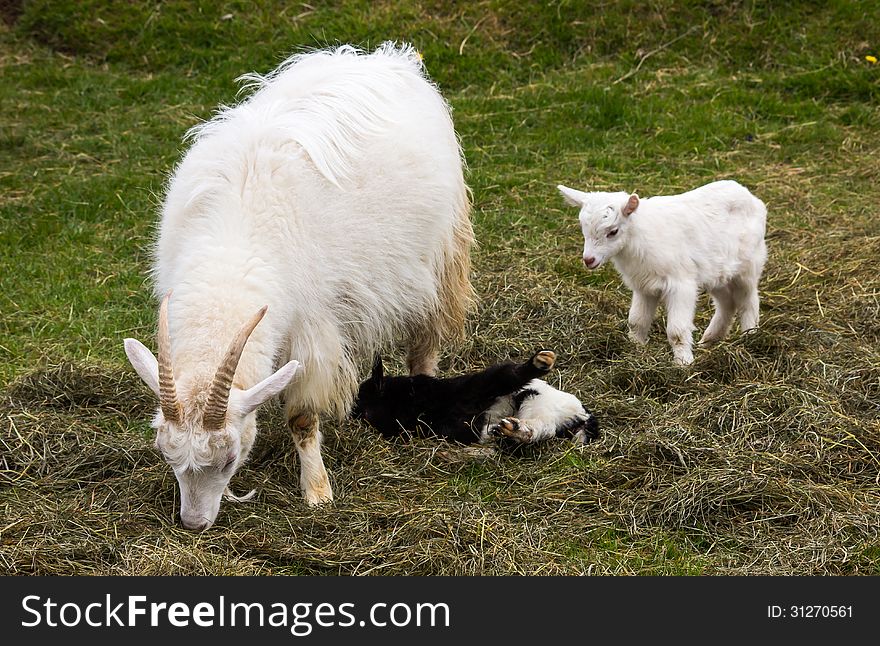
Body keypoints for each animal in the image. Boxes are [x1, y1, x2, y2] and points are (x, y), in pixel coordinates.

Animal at [124, 44, 474, 532]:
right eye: (165, 453)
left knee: (425, 338)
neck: (234, 248)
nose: (194, 523)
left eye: (230, 458)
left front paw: (317, 493)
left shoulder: (312, 328)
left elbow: (303, 418)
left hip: (440, 258)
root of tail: (388, 59)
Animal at [560, 180, 768, 368]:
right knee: (727, 303)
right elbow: (636, 322)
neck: (638, 237)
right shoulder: (643, 286)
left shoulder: (681, 284)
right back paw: (709, 340)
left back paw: (749, 337)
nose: (589, 260)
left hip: (748, 266)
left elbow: (676, 330)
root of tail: (751, 197)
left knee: (748, 300)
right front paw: (635, 350)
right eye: (583, 229)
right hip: (717, 273)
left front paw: (683, 363)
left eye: (613, 231)